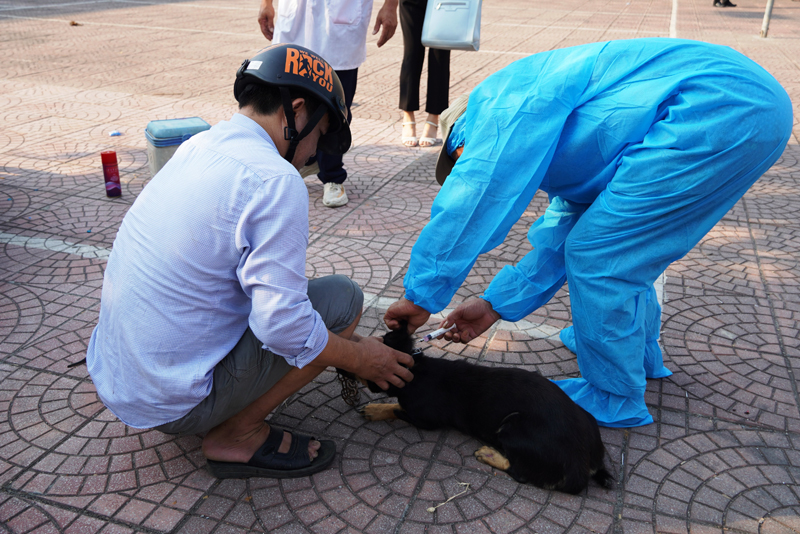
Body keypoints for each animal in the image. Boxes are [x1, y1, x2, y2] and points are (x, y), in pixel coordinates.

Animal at [344, 326, 612, 498]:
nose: (343, 364)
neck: (416, 369)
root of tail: (585, 465)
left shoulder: (423, 418)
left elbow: (396, 408)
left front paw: (374, 409)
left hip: (512, 427)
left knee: (520, 472)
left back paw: (489, 454)